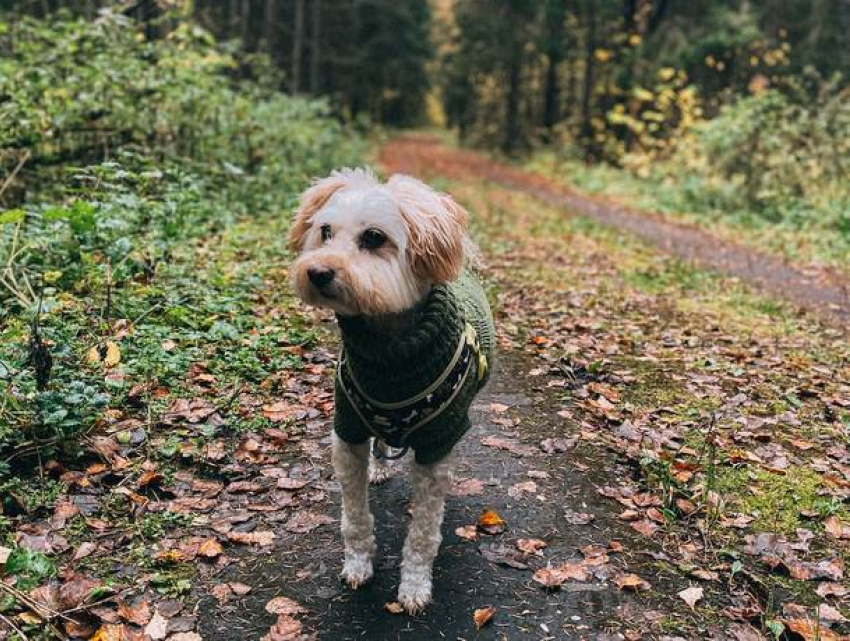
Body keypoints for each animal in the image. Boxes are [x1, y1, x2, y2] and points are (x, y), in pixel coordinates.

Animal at [288, 168, 494, 612]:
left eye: (373, 237)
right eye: (325, 231)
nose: (317, 272)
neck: (389, 354)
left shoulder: (437, 445)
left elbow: (423, 531)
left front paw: (414, 584)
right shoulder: (347, 429)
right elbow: (354, 516)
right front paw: (359, 562)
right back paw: (381, 466)